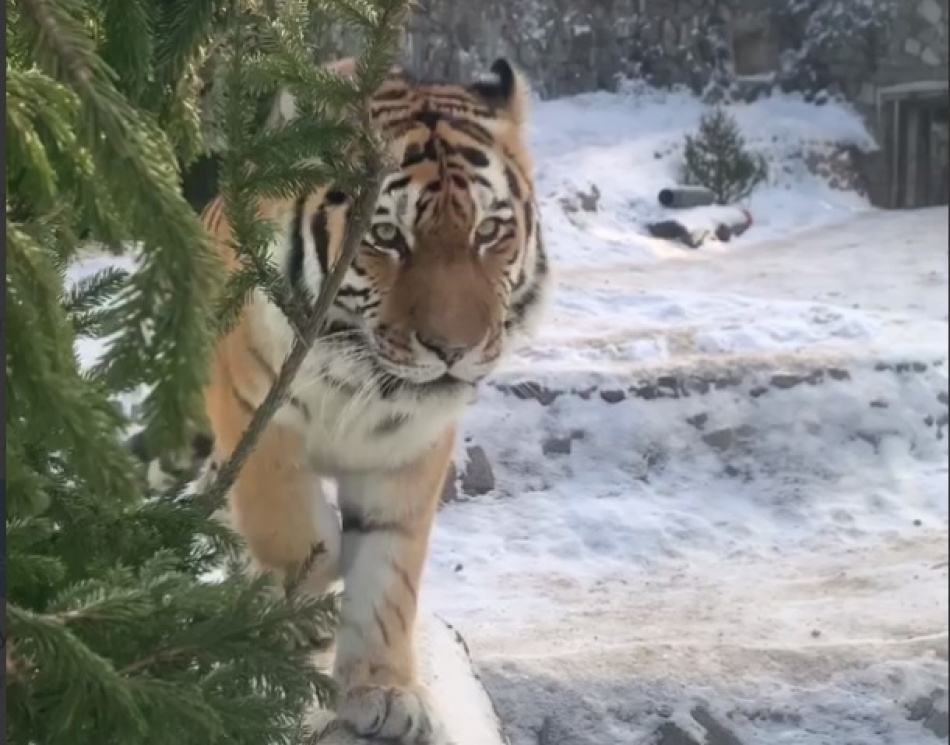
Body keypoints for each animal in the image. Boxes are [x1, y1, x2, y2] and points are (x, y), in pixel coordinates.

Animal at [195, 58, 552, 740]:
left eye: (489, 231)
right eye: (386, 235)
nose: (454, 348)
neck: (360, 378)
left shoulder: (409, 452)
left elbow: (388, 577)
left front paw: (380, 693)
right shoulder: (254, 409)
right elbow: (288, 521)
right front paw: (313, 575)